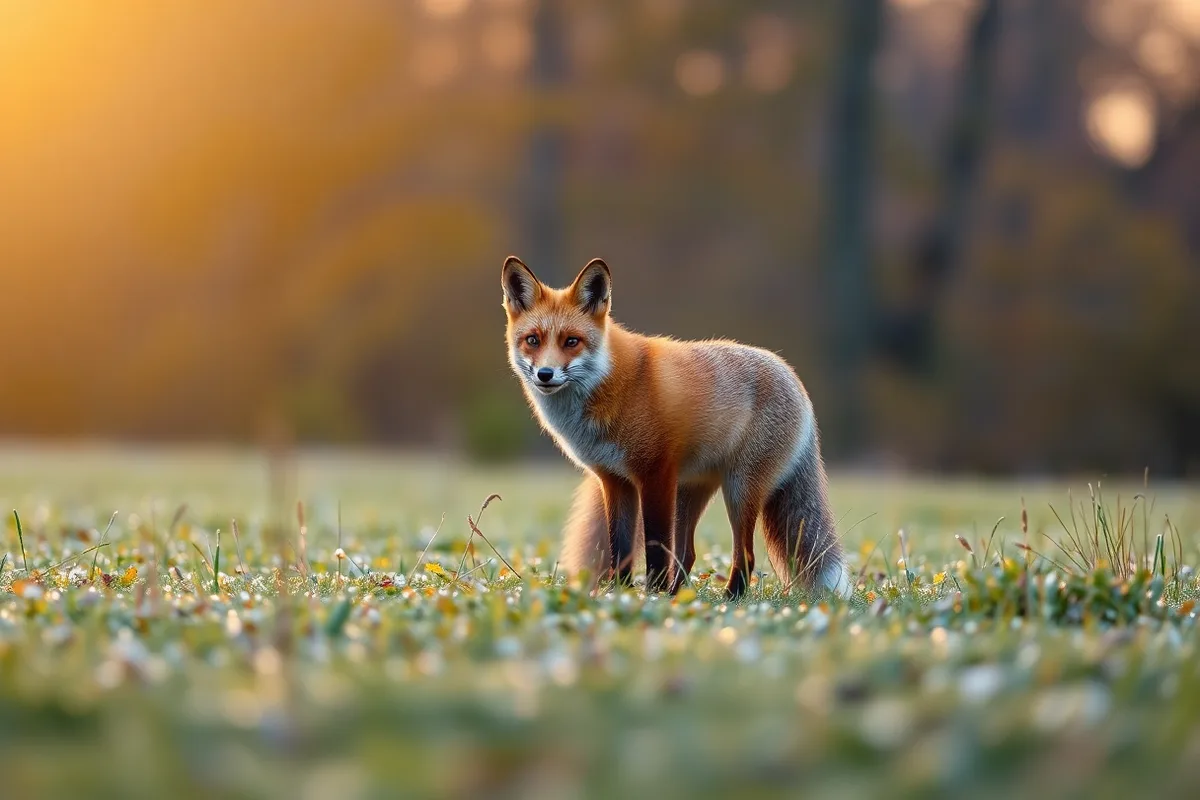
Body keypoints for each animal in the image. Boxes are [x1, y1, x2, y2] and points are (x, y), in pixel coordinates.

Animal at [501, 255, 852, 600]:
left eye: (571, 341)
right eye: (533, 340)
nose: (545, 374)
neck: (610, 384)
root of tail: (790, 374)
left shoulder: (655, 475)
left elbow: (655, 547)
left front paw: (652, 597)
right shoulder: (615, 481)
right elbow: (621, 549)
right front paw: (621, 593)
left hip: (738, 490)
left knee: (745, 555)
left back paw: (728, 599)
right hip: (690, 491)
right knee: (689, 554)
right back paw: (678, 597)